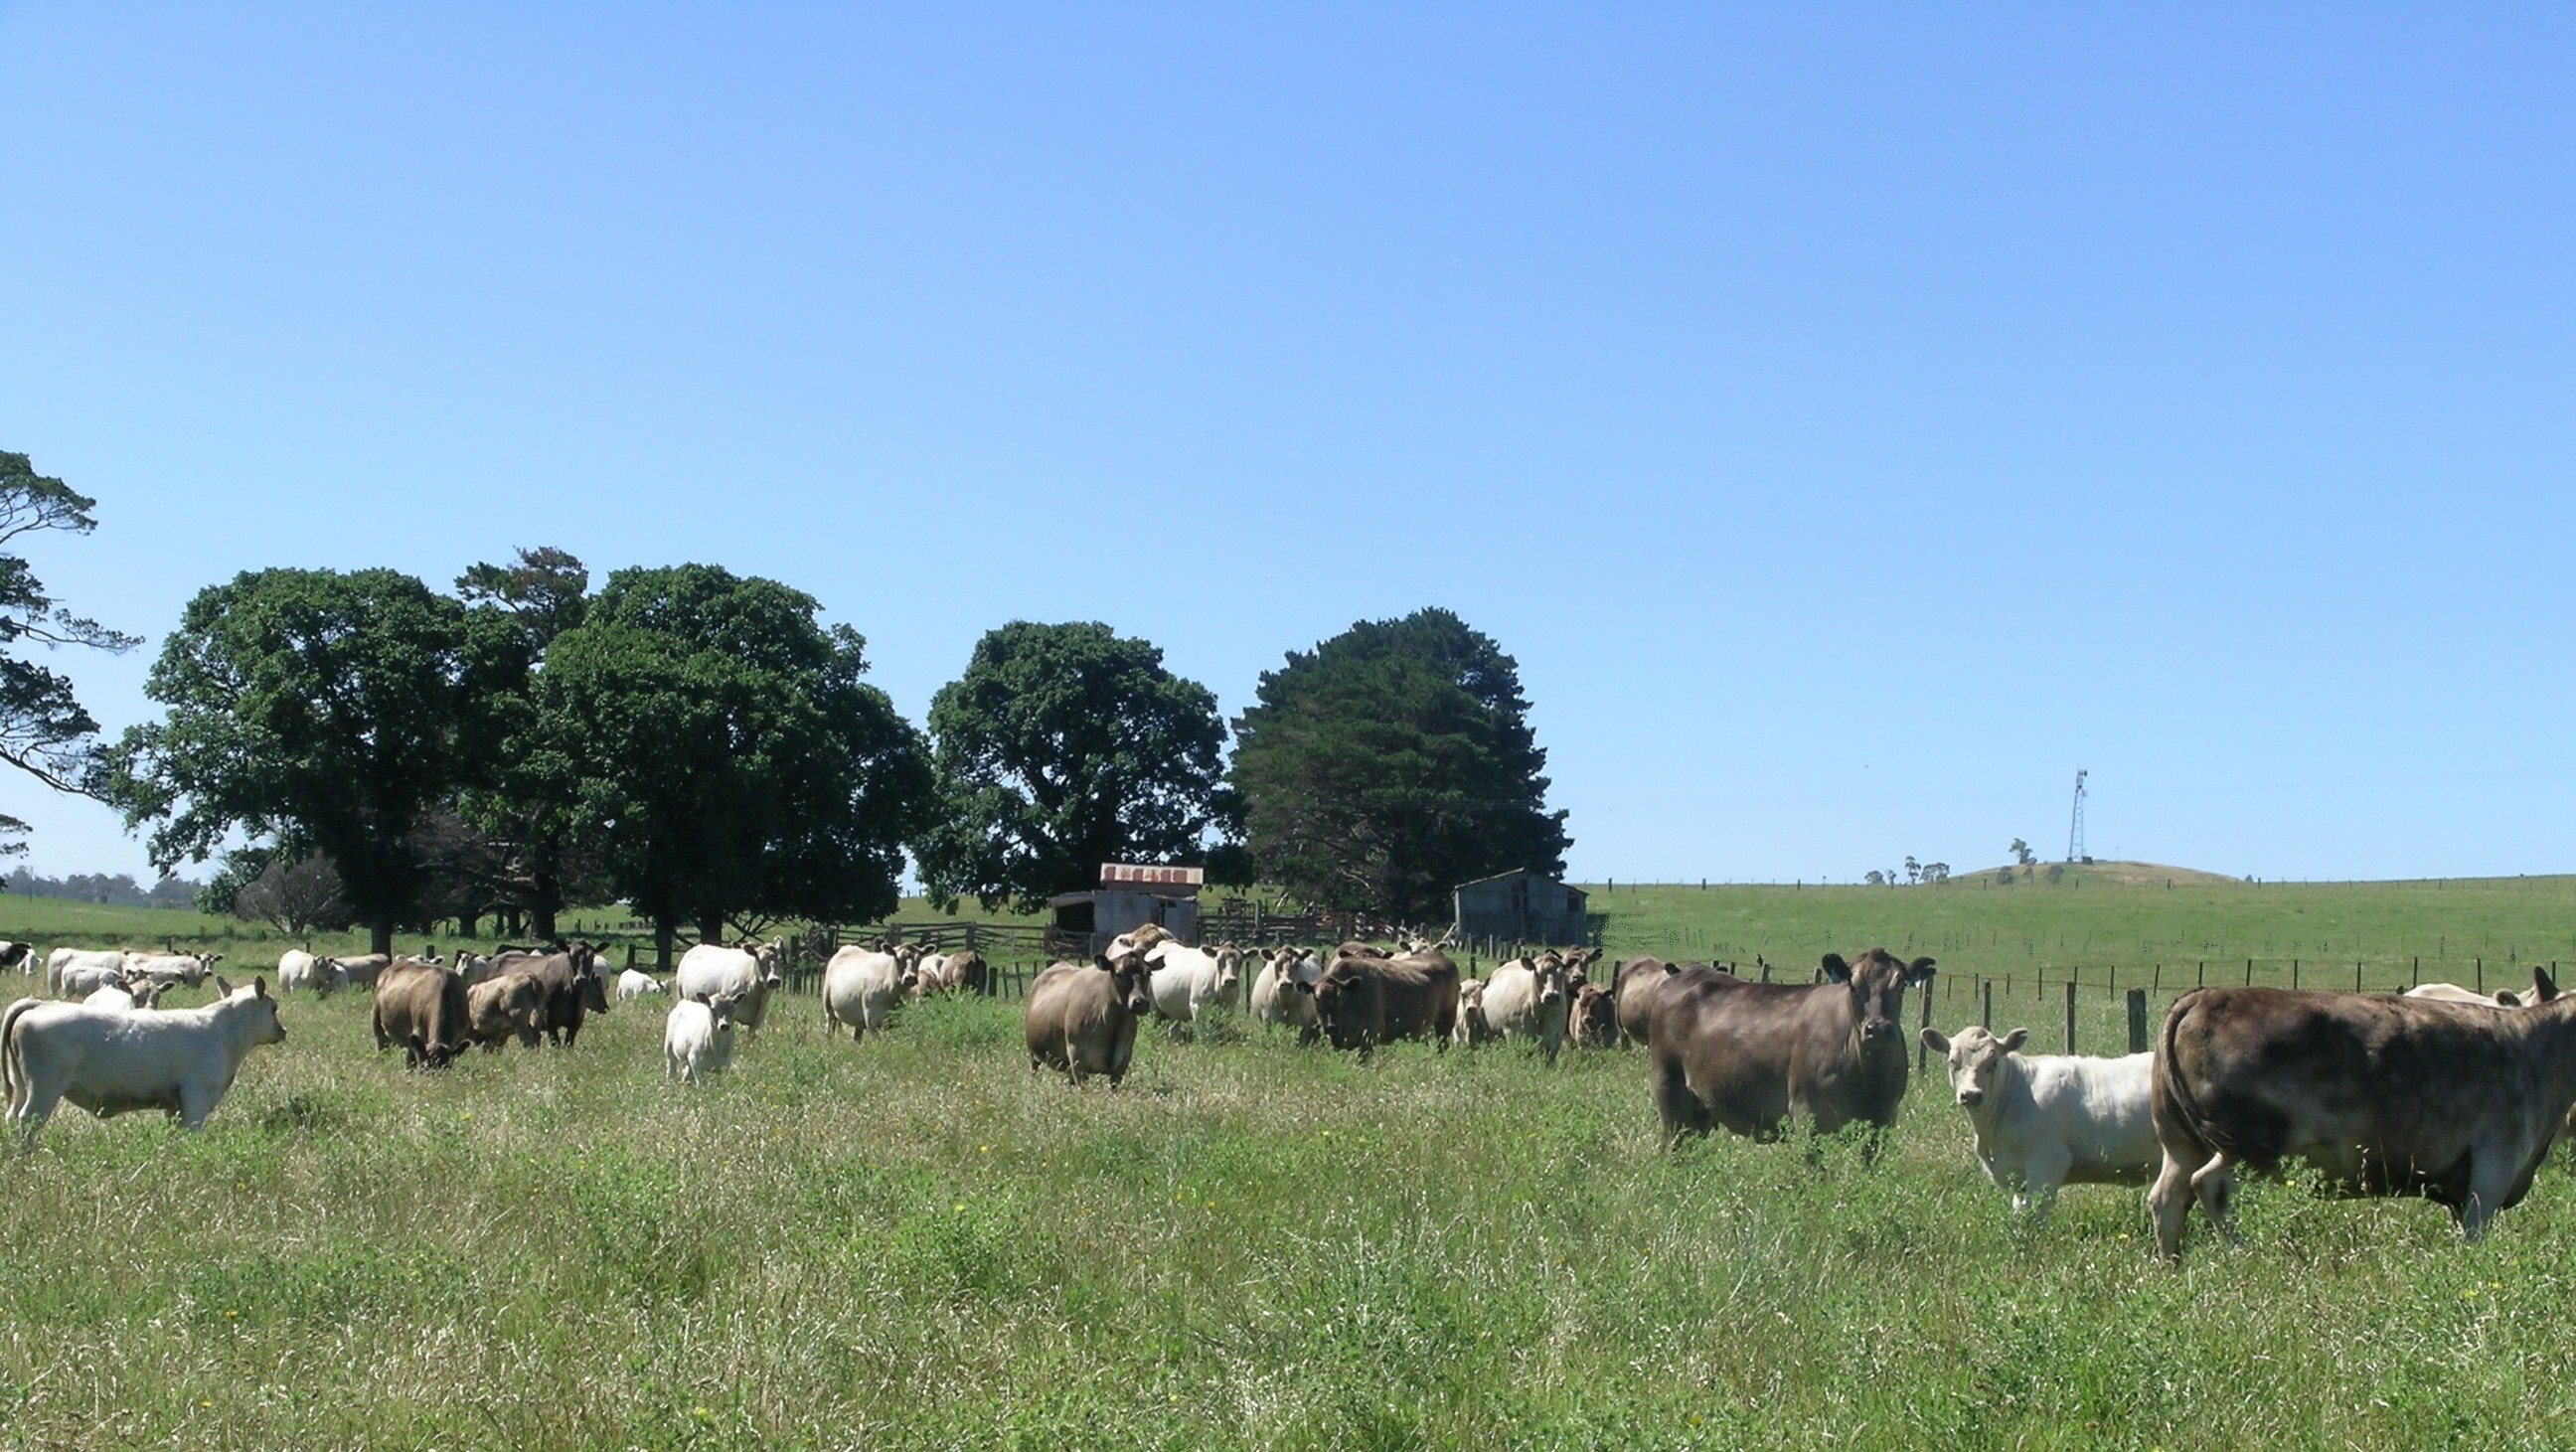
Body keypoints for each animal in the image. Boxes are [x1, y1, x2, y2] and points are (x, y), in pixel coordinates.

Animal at [4, 978, 286, 1146]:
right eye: (274, 1009)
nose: (283, 1031)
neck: (220, 1032)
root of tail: (40, 1005)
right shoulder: (196, 1099)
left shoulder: (174, 1105)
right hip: (43, 1090)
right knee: (27, 1119)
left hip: (21, 1086)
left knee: (10, 1114)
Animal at [1023, 950, 1156, 1088]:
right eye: (1119, 974)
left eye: (1149, 973)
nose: (1140, 1002)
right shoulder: (1076, 1056)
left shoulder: (1123, 1059)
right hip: (1033, 1053)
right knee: (1034, 1070)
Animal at [1312, 945, 1461, 1055]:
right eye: (1316, 998)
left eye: (1339, 997)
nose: (1330, 1026)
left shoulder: (1370, 1037)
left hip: (1446, 1021)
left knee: (1442, 1045)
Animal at [1648, 950, 1935, 1147]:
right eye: (1853, 985)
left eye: (1901, 985)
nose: (1877, 1028)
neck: (1868, 1076)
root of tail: (1684, 974)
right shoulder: (1807, 1114)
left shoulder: (1884, 1119)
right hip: (1669, 1091)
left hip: (1701, 1109)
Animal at [2148, 976, 2576, 1260]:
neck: (2534, 1049)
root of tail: (2206, 997)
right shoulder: (2493, 1168)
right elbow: (2476, 1234)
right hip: (2246, 1146)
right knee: (2209, 1185)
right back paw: (2245, 1252)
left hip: (2181, 1144)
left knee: (2168, 1197)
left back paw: (2173, 1265)